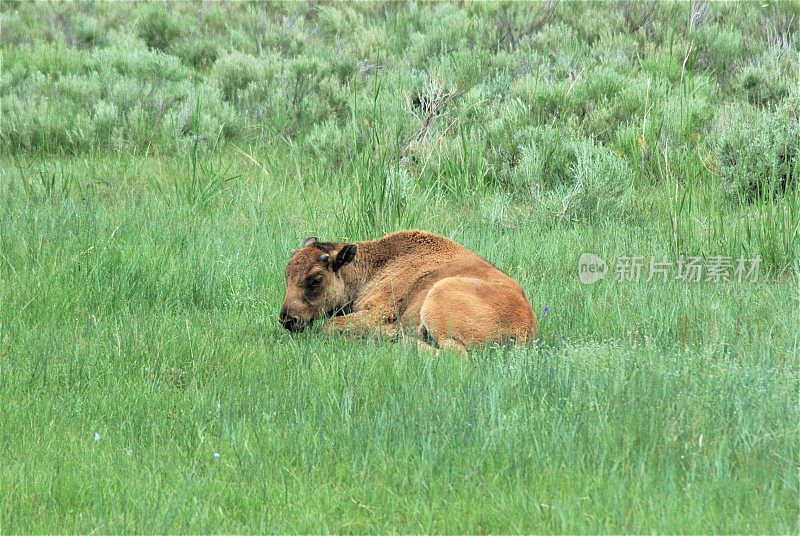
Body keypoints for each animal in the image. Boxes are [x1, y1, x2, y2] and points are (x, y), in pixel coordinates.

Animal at [282, 228, 536, 354]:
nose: (287, 319)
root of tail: (527, 328)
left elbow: (327, 325)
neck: (375, 265)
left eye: (317, 279)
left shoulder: (376, 313)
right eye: (286, 273)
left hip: (439, 296)